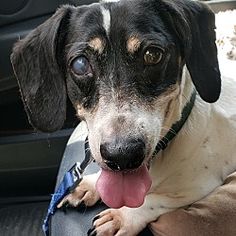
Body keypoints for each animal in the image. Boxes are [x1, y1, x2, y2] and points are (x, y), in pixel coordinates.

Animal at [11, 0, 236, 235]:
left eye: (152, 54)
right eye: (80, 64)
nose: (122, 156)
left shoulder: (199, 185)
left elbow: (154, 201)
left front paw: (121, 217)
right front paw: (89, 185)